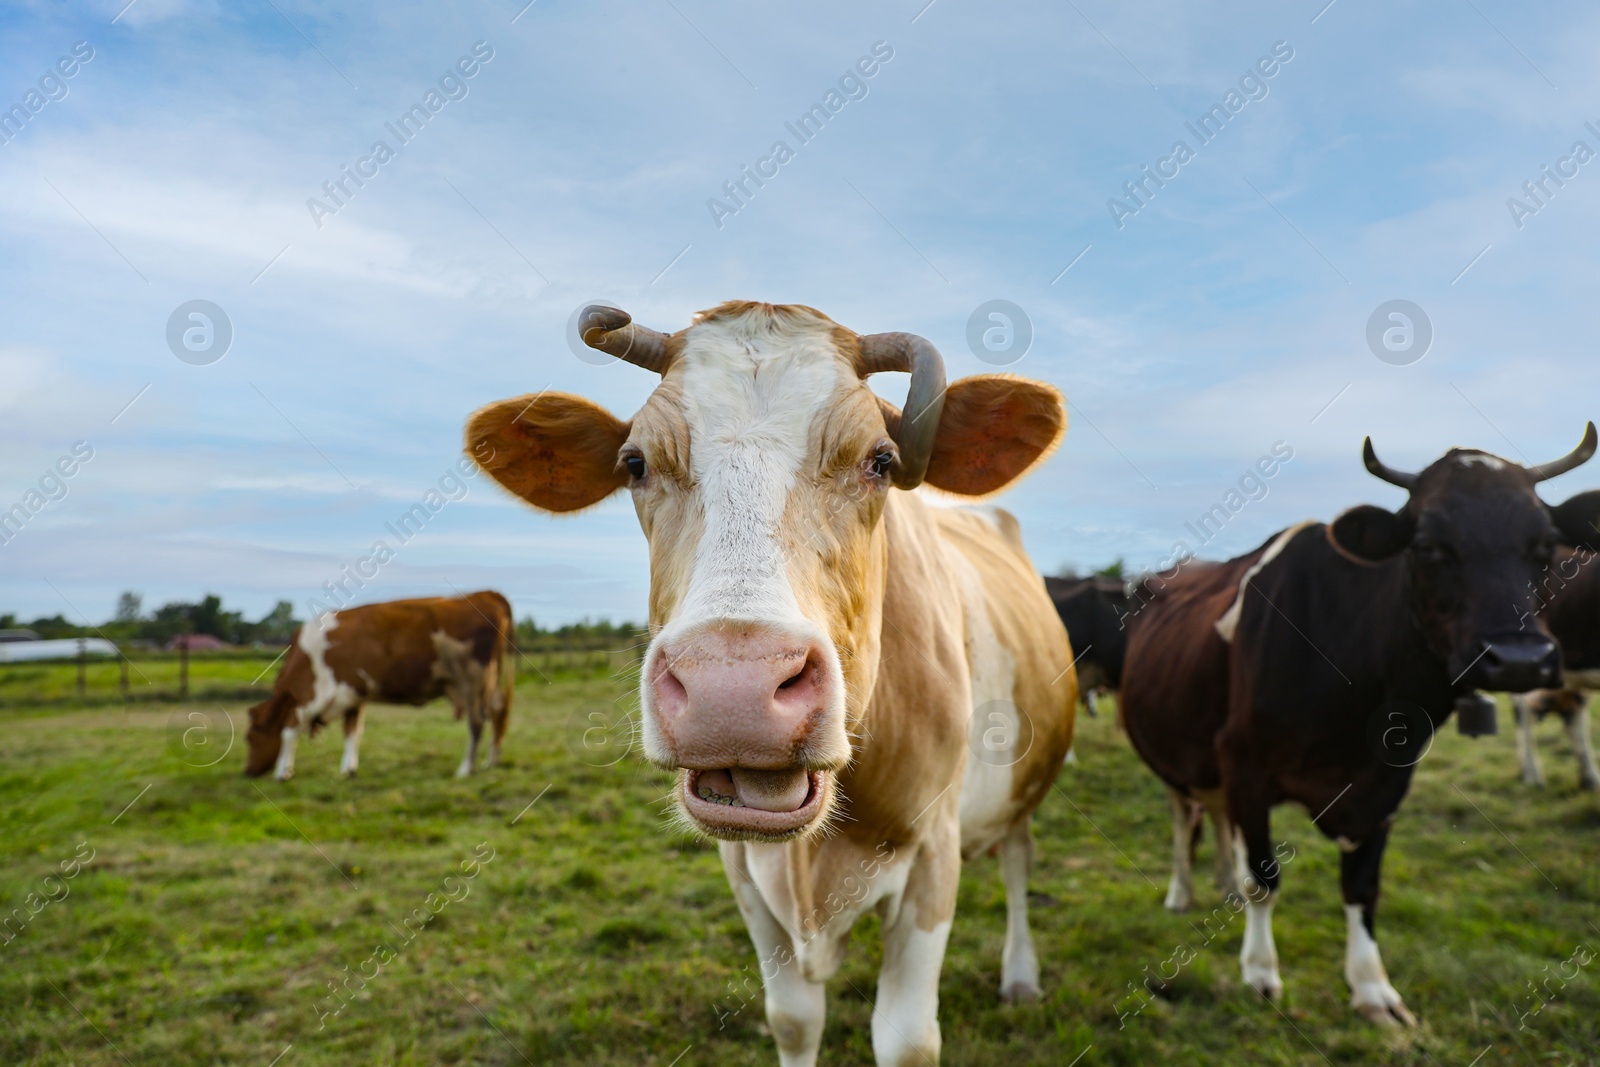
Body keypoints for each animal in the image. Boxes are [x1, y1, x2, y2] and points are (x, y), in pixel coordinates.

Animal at [243, 588, 512, 780]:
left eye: (250, 736)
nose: (247, 772)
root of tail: (486, 594)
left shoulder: (311, 695)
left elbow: (289, 731)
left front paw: (283, 772)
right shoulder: (353, 694)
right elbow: (353, 731)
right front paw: (348, 770)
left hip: (472, 683)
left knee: (477, 722)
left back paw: (465, 770)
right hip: (489, 683)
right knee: (498, 712)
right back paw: (491, 762)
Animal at [464, 302, 1075, 1067]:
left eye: (881, 460)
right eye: (635, 463)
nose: (733, 690)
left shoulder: (934, 853)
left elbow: (906, 1039)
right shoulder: (744, 869)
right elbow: (792, 1019)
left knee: (1019, 860)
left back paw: (1021, 975)